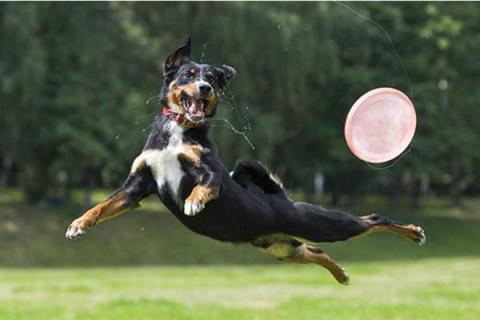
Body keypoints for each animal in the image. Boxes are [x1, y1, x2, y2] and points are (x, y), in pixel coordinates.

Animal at [65, 38, 426, 284]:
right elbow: (103, 205)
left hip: (323, 224)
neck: (178, 132)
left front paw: (194, 202)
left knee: (374, 219)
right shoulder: (137, 185)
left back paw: (413, 233)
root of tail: (281, 199)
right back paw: (341, 274)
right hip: (283, 249)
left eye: (212, 78)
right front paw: (79, 224)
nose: (205, 87)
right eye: (189, 74)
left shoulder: (211, 174)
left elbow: (204, 186)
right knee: (318, 252)